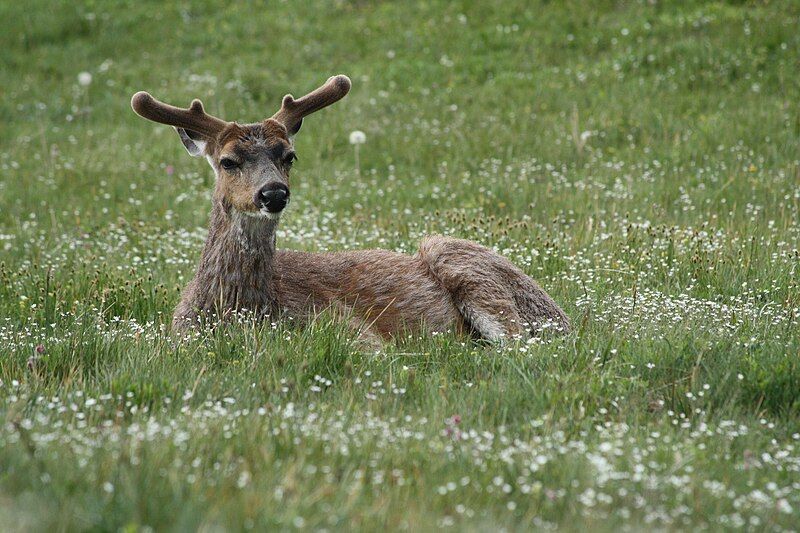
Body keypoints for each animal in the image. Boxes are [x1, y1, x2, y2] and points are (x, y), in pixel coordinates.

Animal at [130, 74, 568, 344]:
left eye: (289, 155)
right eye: (228, 161)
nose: (273, 193)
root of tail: (563, 316)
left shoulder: (350, 329)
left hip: (462, 261)